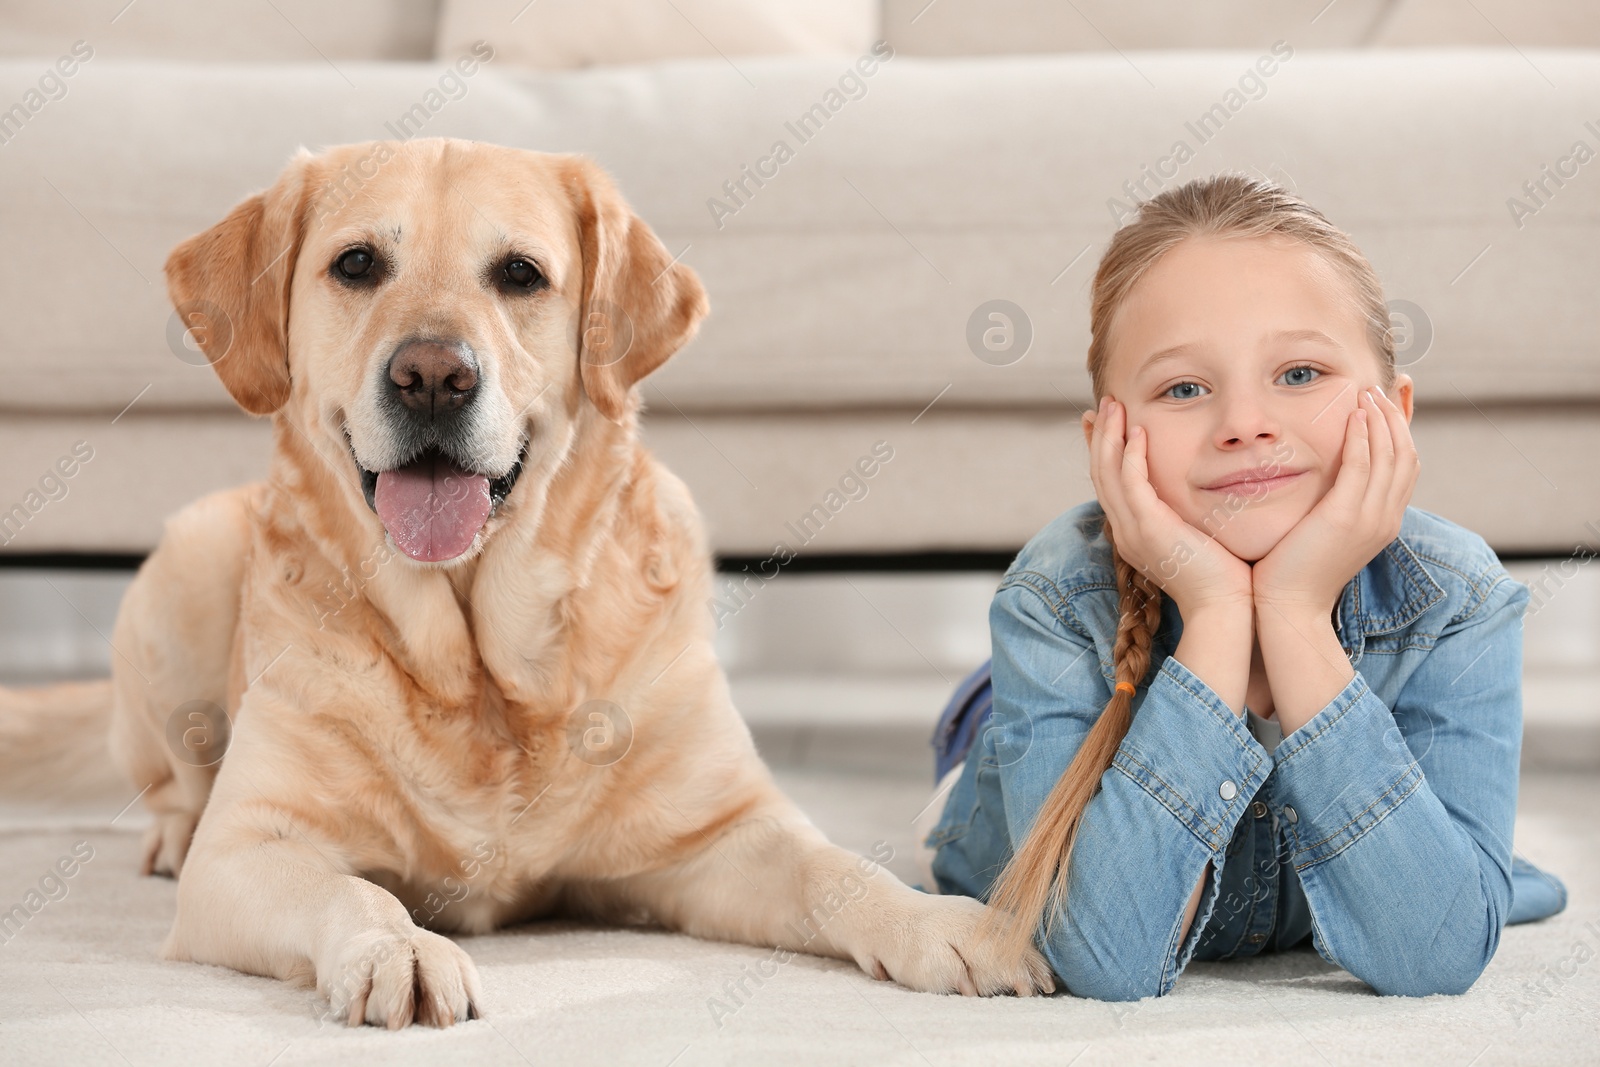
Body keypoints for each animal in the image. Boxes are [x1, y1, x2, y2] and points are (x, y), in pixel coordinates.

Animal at [0, 139, 1056, 1023]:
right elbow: (352, 884)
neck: (482, 666)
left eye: (520, 274)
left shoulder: (723, 832)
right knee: (176, 786)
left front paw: (946, 922)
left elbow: (836, 867)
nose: (432, 375)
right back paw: (167, 834)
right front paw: (400, 948)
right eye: (356, 264)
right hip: (182, 576)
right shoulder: (249, 850)